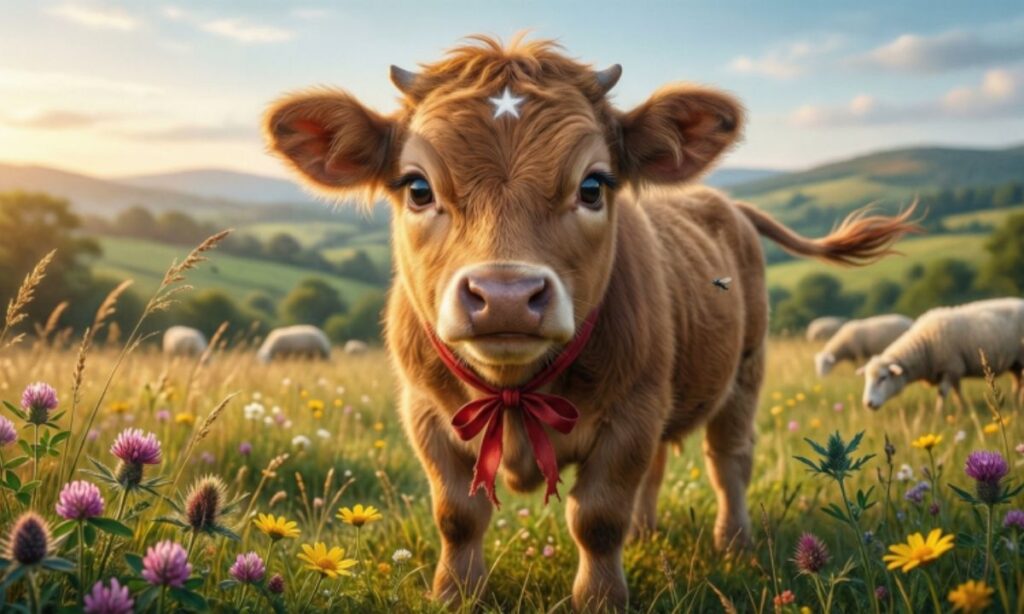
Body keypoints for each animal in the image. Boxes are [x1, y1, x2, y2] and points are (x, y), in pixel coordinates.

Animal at [263, 35, 917, 611]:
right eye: (418, 187)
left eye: (593, 185)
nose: (505, 295)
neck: (514, 387)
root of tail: (721, 201)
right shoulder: (425, 411)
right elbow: (457, 515)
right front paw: (455, 594)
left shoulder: (631, 412)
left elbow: (598, 517)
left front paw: (601, 600)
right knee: (660, 466)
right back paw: (649, 533)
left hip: (745, 371)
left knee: (728, 460)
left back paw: (733, 545)